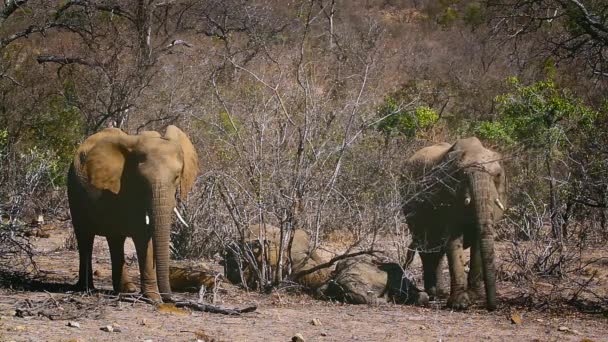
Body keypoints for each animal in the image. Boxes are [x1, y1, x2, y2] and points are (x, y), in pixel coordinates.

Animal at [67, 125, 200, 302]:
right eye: (142, 180)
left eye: (177, 177)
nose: (170, 298)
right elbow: (142, 237)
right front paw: (153, 298)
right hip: (74, 195)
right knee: (85, 238)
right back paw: (87, 288)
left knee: (115, 239)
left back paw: (126, 290)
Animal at [404, 136, 508, 310]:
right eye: (462, 176)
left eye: (498, 175)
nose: (491, 307)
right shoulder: (446, 194)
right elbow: (453, 241)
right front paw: (460, 305)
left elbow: (478, 240)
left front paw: (474, 297)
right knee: (426, 246)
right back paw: (433, 293)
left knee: (436, 249)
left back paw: (440, 293)